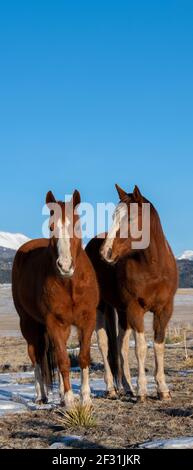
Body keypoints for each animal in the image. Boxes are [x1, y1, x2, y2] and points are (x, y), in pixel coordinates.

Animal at [11, 190, 99, 408]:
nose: (65, 265)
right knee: (36, 356)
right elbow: (63, 360)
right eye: (51, 227)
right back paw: (40, 396)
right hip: (29, 324)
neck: (70, 284)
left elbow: (83, 357)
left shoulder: (87, 320)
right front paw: (69, 400)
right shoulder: (53, 322)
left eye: (77, 226)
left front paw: (85, 398)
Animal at [86, 185, 179, 402]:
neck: (153, 267)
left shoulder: (164, 310)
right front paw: (143, 391)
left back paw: (127, 387)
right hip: (102, 307)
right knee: (104, 343)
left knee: (120, 345)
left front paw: (163, 389)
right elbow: (141, 348)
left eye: (130, 218)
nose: (105, 253)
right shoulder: (135, 308)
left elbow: (158, 345)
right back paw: (111, 388)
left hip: (121, 311)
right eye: (113, 216)